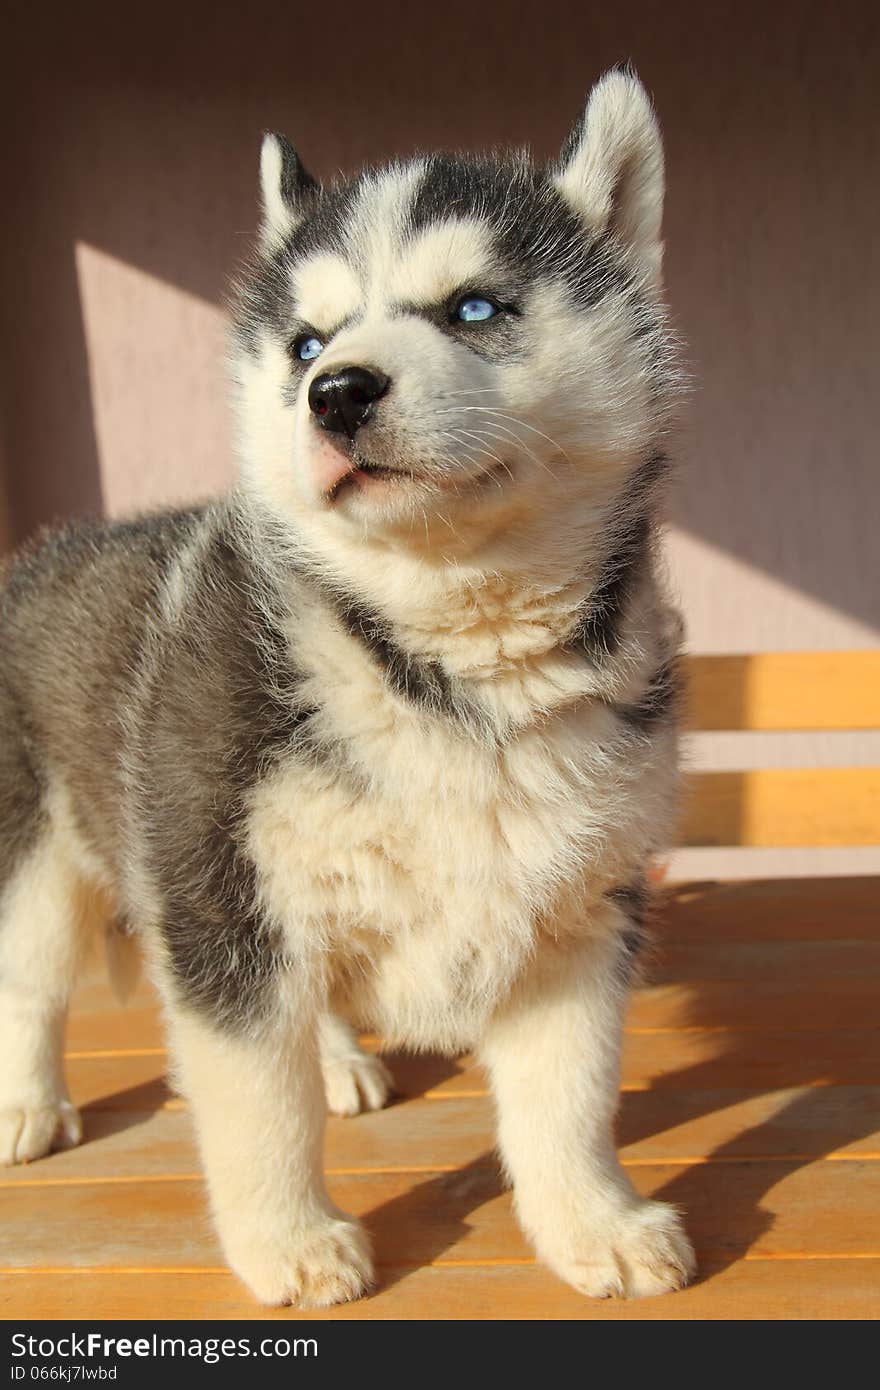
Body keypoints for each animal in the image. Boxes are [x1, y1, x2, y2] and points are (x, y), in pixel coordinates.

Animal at [3, 65, 697, 1301]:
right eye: (305, 341)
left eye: (475, 310)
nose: (336, 391)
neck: (450, 671)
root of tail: (50, 547)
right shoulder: (218, 891)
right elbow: (254, 1104)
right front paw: (287, 1239)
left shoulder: (579, 913)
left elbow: (567, 1099)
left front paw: (591, 1222)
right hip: (42, 852)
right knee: (32, 981)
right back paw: (30, 1103)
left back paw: (332, 1056)